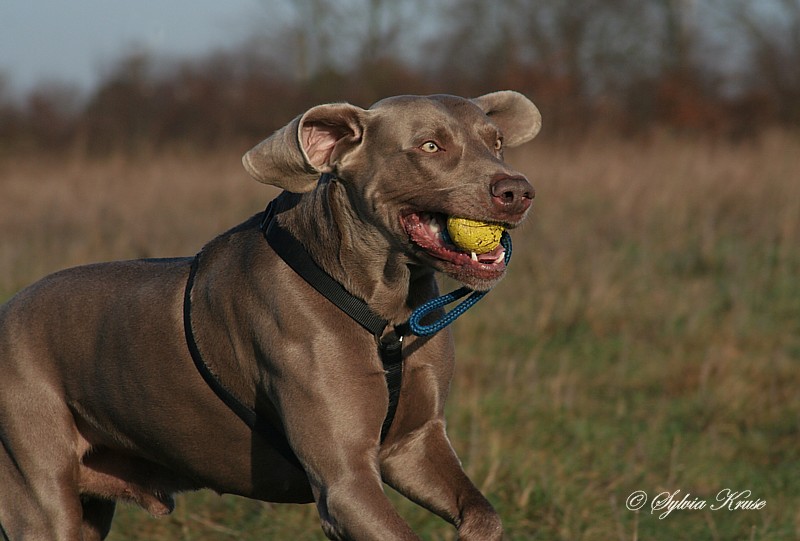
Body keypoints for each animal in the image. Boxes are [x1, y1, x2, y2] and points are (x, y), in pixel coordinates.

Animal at [0, 90, 540, 536]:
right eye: (430, 146)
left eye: (496, 143)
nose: (517, 191)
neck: (386, 305)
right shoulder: (345, 482)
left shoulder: (415, 446)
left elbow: (483, 514)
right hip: (41, 496)